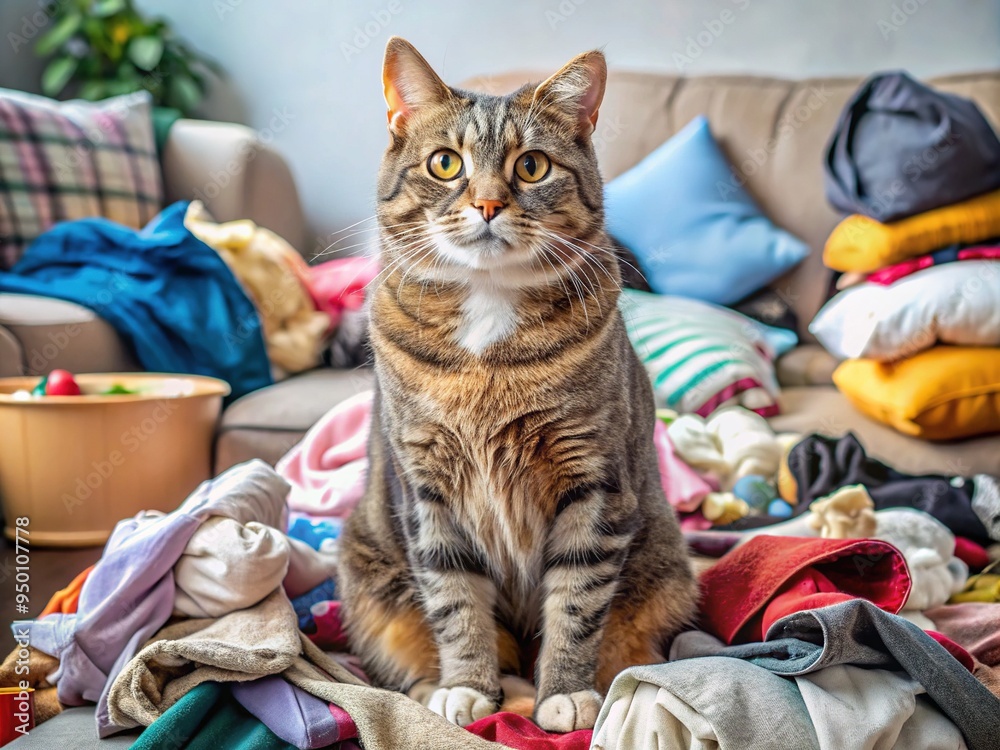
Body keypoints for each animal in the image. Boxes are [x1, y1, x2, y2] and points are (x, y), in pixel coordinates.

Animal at [336, 36, 696, 736]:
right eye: (445, 163)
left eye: (531, 166)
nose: (487, 204)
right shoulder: (427, 486)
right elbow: (453, 597)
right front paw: (468, 686)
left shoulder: (594, 478)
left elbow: (578, 600)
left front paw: (566, 692)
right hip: (368, 580)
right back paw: (442, 687)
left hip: (665, 571)